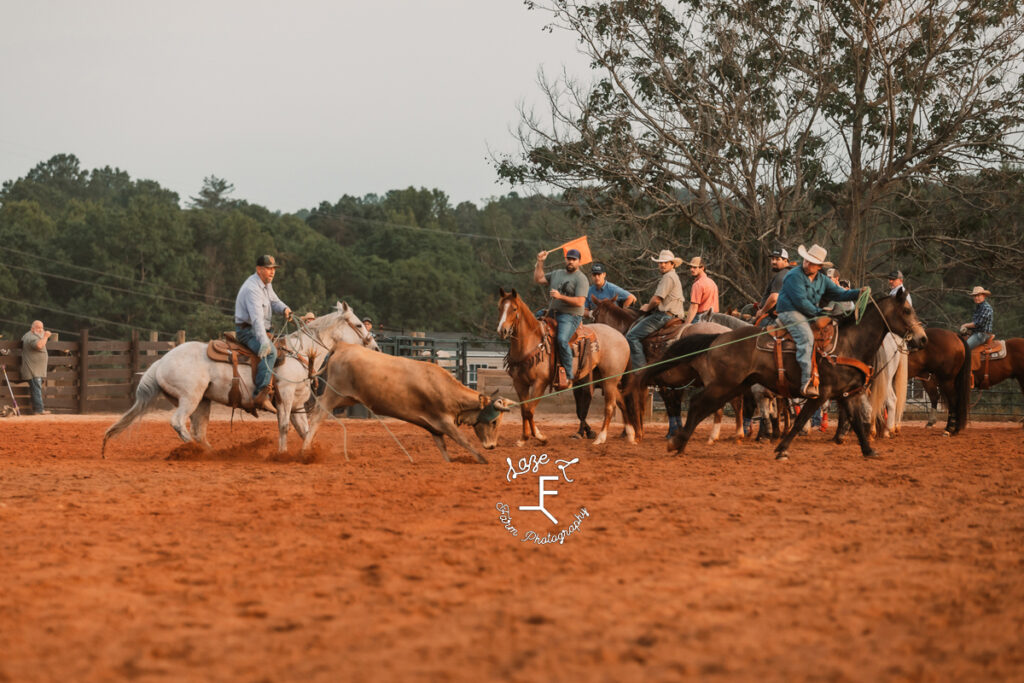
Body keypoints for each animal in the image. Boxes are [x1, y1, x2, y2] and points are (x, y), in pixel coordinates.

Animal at [101, 301, 380, 456]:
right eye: (358, 324)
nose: (375, 347)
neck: (299, 354)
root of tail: (161, 362)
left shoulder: (298, 404)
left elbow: (305, 430)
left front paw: (307, 453)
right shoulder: (285, 397)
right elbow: (284, 427)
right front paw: (282, 454)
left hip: (202, 401)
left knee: (199, 430)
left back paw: (211, 453)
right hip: (189, 397)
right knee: (179, 423)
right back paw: (198, 452)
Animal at [301, 344, 512, 462]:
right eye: (494, 421)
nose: (492, 446)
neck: (443, 388)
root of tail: (343, 346)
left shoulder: (435, 427)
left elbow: (444, 449)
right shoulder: (444, 422)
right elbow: (463, 440)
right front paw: (482, 459)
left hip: (342, 398)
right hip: (332, 395)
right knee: (317, 418)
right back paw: (305, 451)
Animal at [495, 286, 630, 444]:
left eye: (514, 309)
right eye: (499, 308)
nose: (502, 330)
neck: (531, 343)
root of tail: (621, 337)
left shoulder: (540, 383)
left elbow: (530, 410)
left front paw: (540, 436)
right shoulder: (519, 383)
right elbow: (524, 410)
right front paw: (524, 438)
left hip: (610, 379)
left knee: (610, 406)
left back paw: (601, 438)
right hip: (607, 380)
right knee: (622, 402)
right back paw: (631, 434)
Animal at [651, 290, 933, 462]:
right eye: (906, 311)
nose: (922, 339)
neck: (847, 344)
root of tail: (718, 338)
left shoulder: (845, 394)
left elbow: (852, 419)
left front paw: (868, 449)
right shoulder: (822, 394)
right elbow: (797, 420)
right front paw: (780, 447)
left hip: (731, 386)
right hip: (724, 385)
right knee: (699, 405)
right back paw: (679, 442)